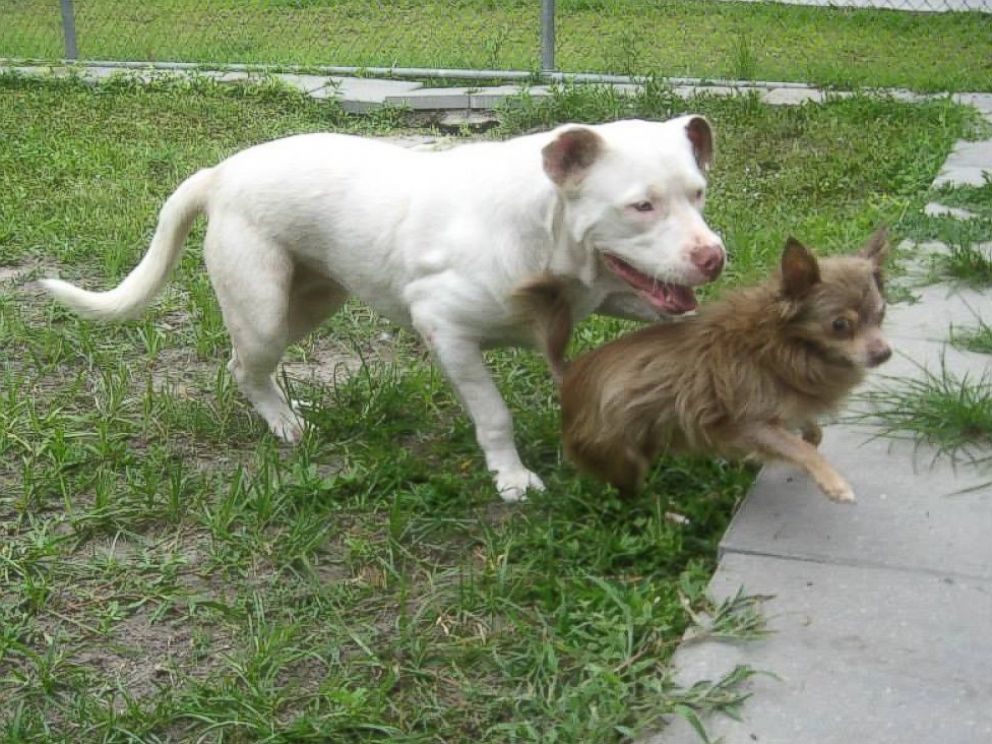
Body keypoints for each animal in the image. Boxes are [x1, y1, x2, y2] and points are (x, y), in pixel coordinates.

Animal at [42, 115, 724, 500]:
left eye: (698, 193)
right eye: (641, 206)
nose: (714, 257)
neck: (545, 227)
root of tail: (221, 172)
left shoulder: (624, 298)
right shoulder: (448, 331)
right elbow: (494, 415)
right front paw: (511, 477)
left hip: (313, 299)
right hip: (263, 311)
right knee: (243, 364)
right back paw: (282, 422)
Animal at [520, 230, 892, 502]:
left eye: (881, 315)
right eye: (840, 325)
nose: (884, 352)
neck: (778, 345)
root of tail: (569, 374)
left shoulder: (784, 405)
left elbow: (811, 432)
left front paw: (807, 442)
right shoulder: (748, 424)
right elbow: (798, 447)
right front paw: (832, 482)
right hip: (622, 456)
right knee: (629, 494)